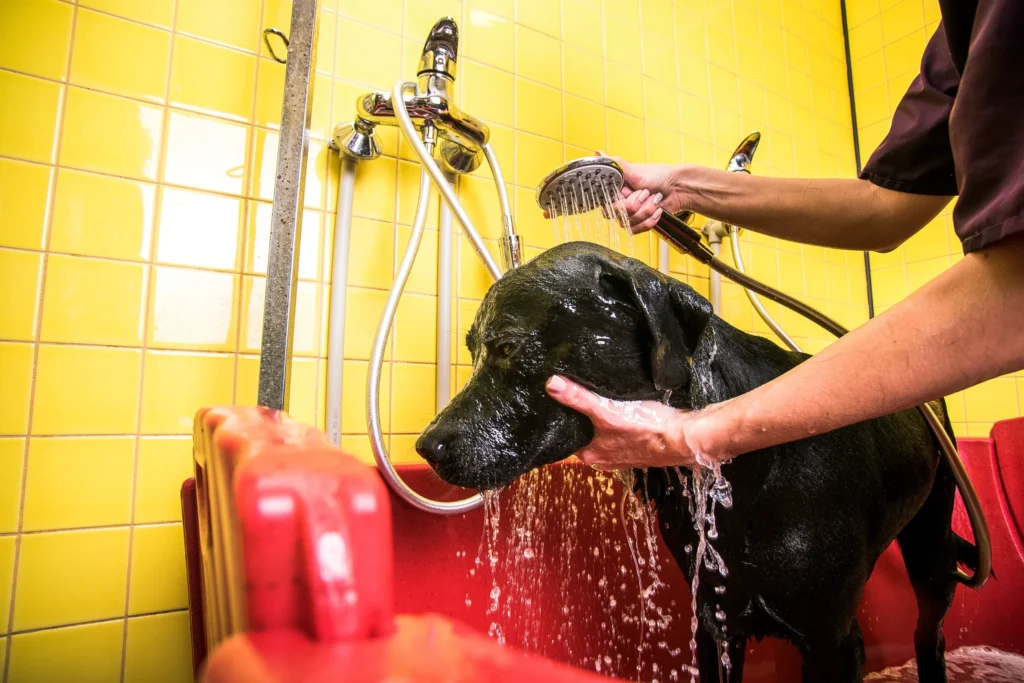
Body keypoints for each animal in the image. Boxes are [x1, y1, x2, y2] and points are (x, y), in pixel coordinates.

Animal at [413, 242, 966, 679]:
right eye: (472, 348)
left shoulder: (834, 643)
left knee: (930, 631)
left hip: (933, 545)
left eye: (507, 346)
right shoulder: (713, 624)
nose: (427, 446)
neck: (746, 473)